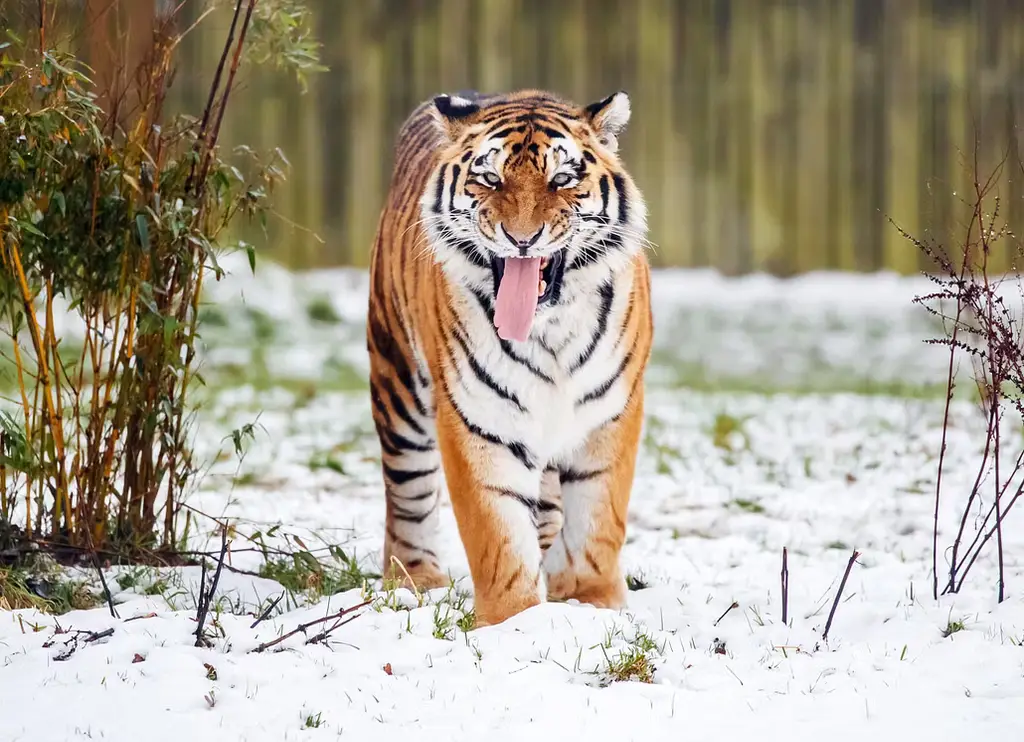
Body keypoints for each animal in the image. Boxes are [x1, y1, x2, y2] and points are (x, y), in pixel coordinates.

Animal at [366, 89, 653, 628]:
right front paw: (514, 623)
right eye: (490, 178)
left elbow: (598, 519)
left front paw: (592, 602)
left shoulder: (611, 412)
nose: (522, 239)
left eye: (562, 179)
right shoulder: (478, 418)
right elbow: (497, 533)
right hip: (398, 384)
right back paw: (416, 579)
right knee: (407, 493)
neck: (550, 329)